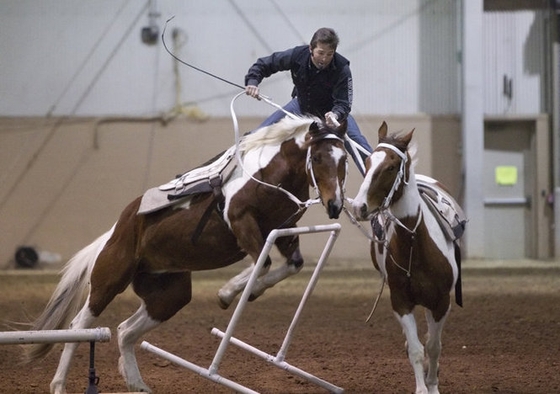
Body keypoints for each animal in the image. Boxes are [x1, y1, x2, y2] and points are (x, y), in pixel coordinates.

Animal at [27, 115, 350, 392]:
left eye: (344, 158)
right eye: (317, 157)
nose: (335, 205)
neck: (268, 173)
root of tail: (116, 230)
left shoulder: (284, 230)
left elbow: (292, 264)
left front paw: (245, 291)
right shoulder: (242, 221)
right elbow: (264, 262)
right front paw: (228, 293)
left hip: (170, 294)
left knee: (125, 330)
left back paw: (138, 384)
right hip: (109, 281)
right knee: (80, 325)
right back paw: (59, 385)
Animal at [350, 121, 464, 394]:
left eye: (391, 167)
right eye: (367, 162)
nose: (358, 207)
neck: (415, 244)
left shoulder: (441, 302)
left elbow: (433, 347)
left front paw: (433, 385)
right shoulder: (400, 302)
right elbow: (415, 349)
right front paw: (422, 387)